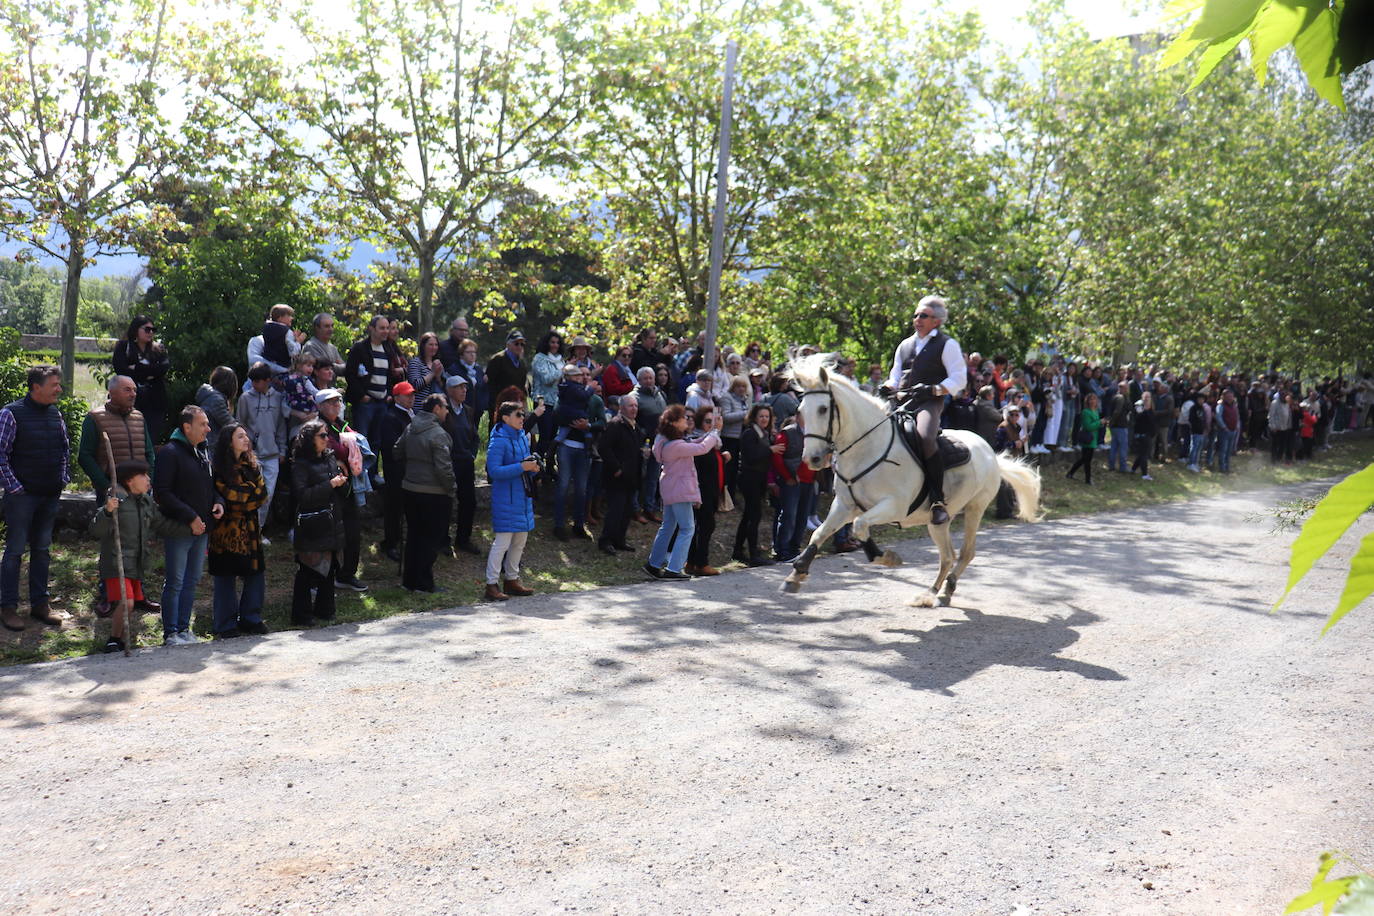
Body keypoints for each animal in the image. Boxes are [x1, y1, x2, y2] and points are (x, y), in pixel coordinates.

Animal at [785, 357, 1038, 609]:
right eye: (800, 411)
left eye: (823, 409)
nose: (812, 459)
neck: (867, 448)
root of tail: (990, 451)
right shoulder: (845, 505)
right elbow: (819, 533)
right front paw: (795, 575)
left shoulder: (893, 506)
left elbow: (859, 525)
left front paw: (885, 558)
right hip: (939, 521)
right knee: (947, 556)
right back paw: (929, 593)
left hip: (975, 508)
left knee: (966, 553)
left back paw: (945, 590)